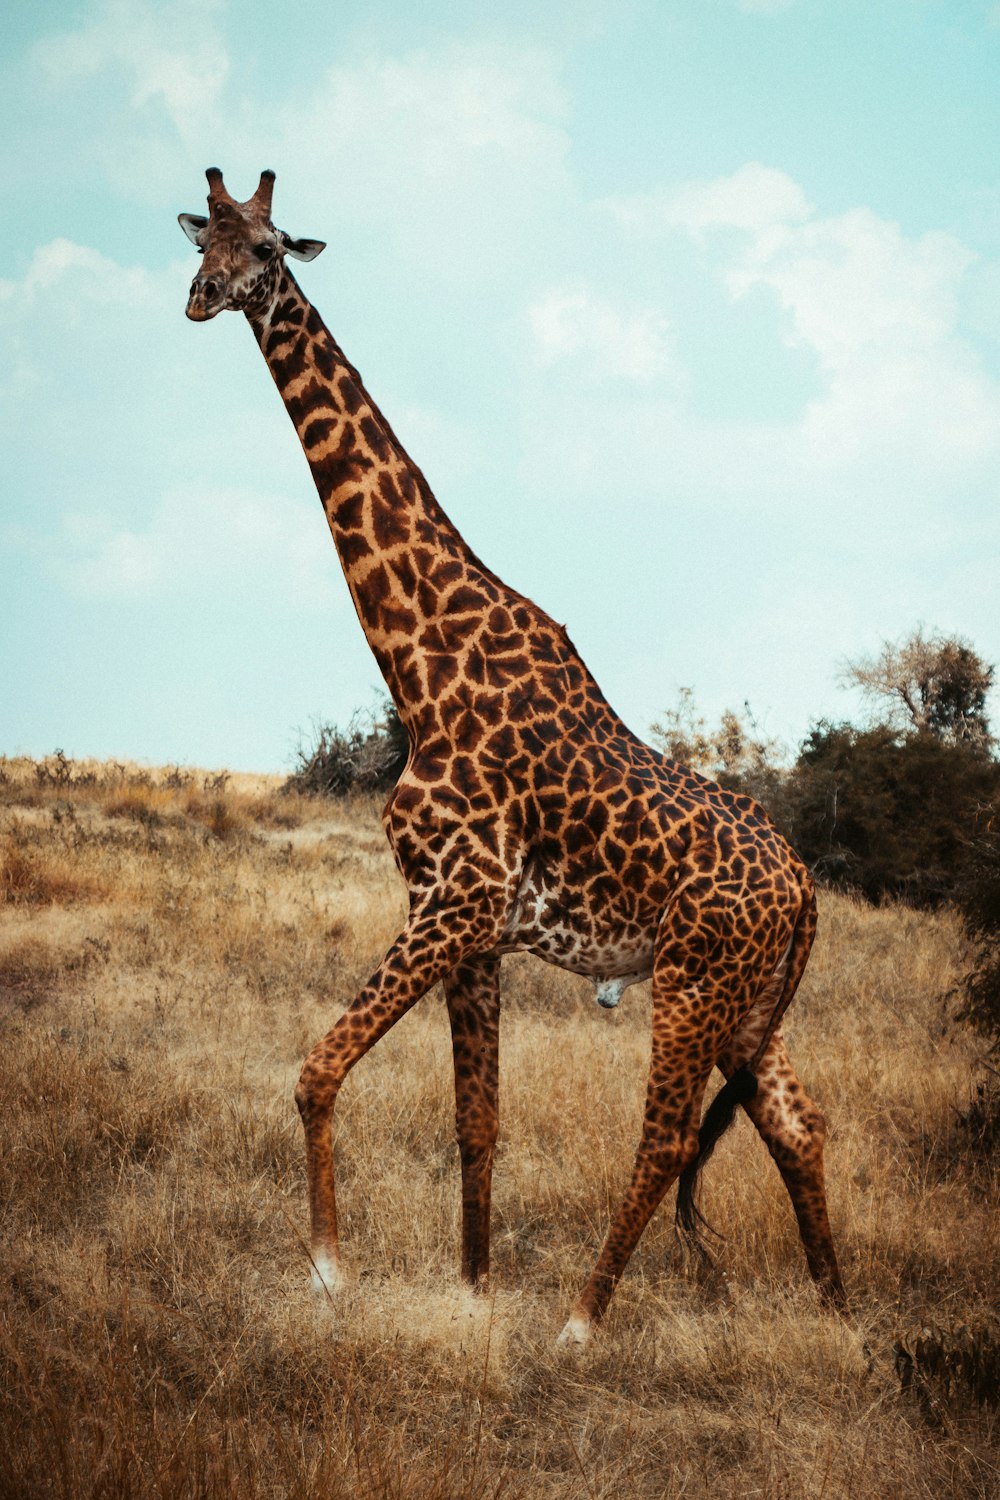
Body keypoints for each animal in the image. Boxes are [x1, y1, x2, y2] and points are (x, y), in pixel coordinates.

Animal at [177, 170, 845, 1344]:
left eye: (264, 246)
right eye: (196, 236)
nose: (202, 298)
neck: (417, 658)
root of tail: (805, 888)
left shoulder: (454, 899)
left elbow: (316, 1069)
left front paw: (330, 1271)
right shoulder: (473, 927)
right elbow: (475, 1123)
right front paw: (472, 1291)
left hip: (691, 980)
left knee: (669, 1137)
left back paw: (582, 1321)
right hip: (747, 1001)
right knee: (796, 1126)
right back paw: (840, 1319)